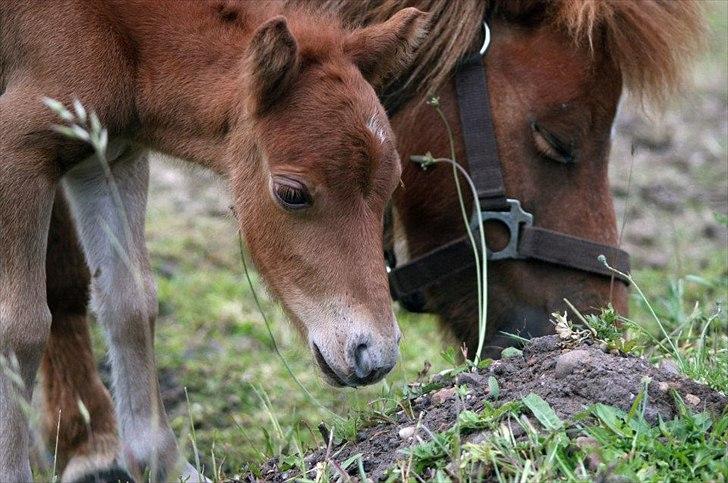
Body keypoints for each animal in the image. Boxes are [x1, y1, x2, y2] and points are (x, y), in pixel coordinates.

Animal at [0, 1, 432, 482]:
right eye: (291, 193)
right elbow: (21, 329)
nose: (375, 355)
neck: (109, 27)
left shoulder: (109, 153)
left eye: (392, 183)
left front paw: (164, 465)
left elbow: (130, 302)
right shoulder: (19, 150)